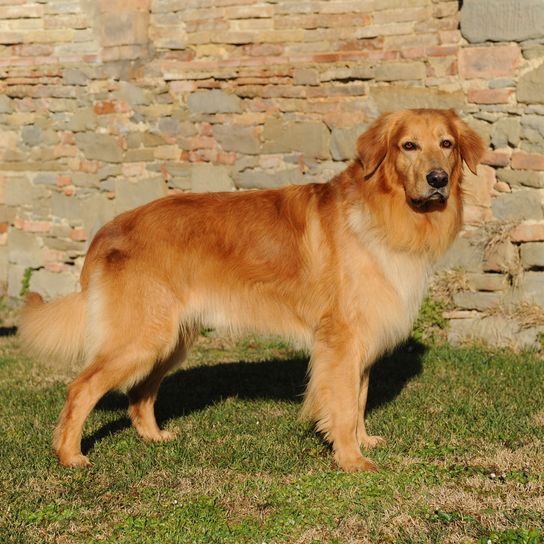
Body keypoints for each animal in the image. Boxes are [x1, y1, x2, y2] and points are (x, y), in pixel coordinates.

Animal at [19, 108, 484, 470]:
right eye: (409, 146)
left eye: (446, 143)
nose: (438, 179)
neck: (381, 209)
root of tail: (110, 228)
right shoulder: (341, 338)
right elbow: (343, 402)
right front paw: (351, 459)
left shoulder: (362, 338)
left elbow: (358, 399)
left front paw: (361, 440)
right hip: (140, 337)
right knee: (81, 388)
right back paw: (70, 455)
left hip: (170, 338)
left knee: (140, 392)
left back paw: (154, 437)